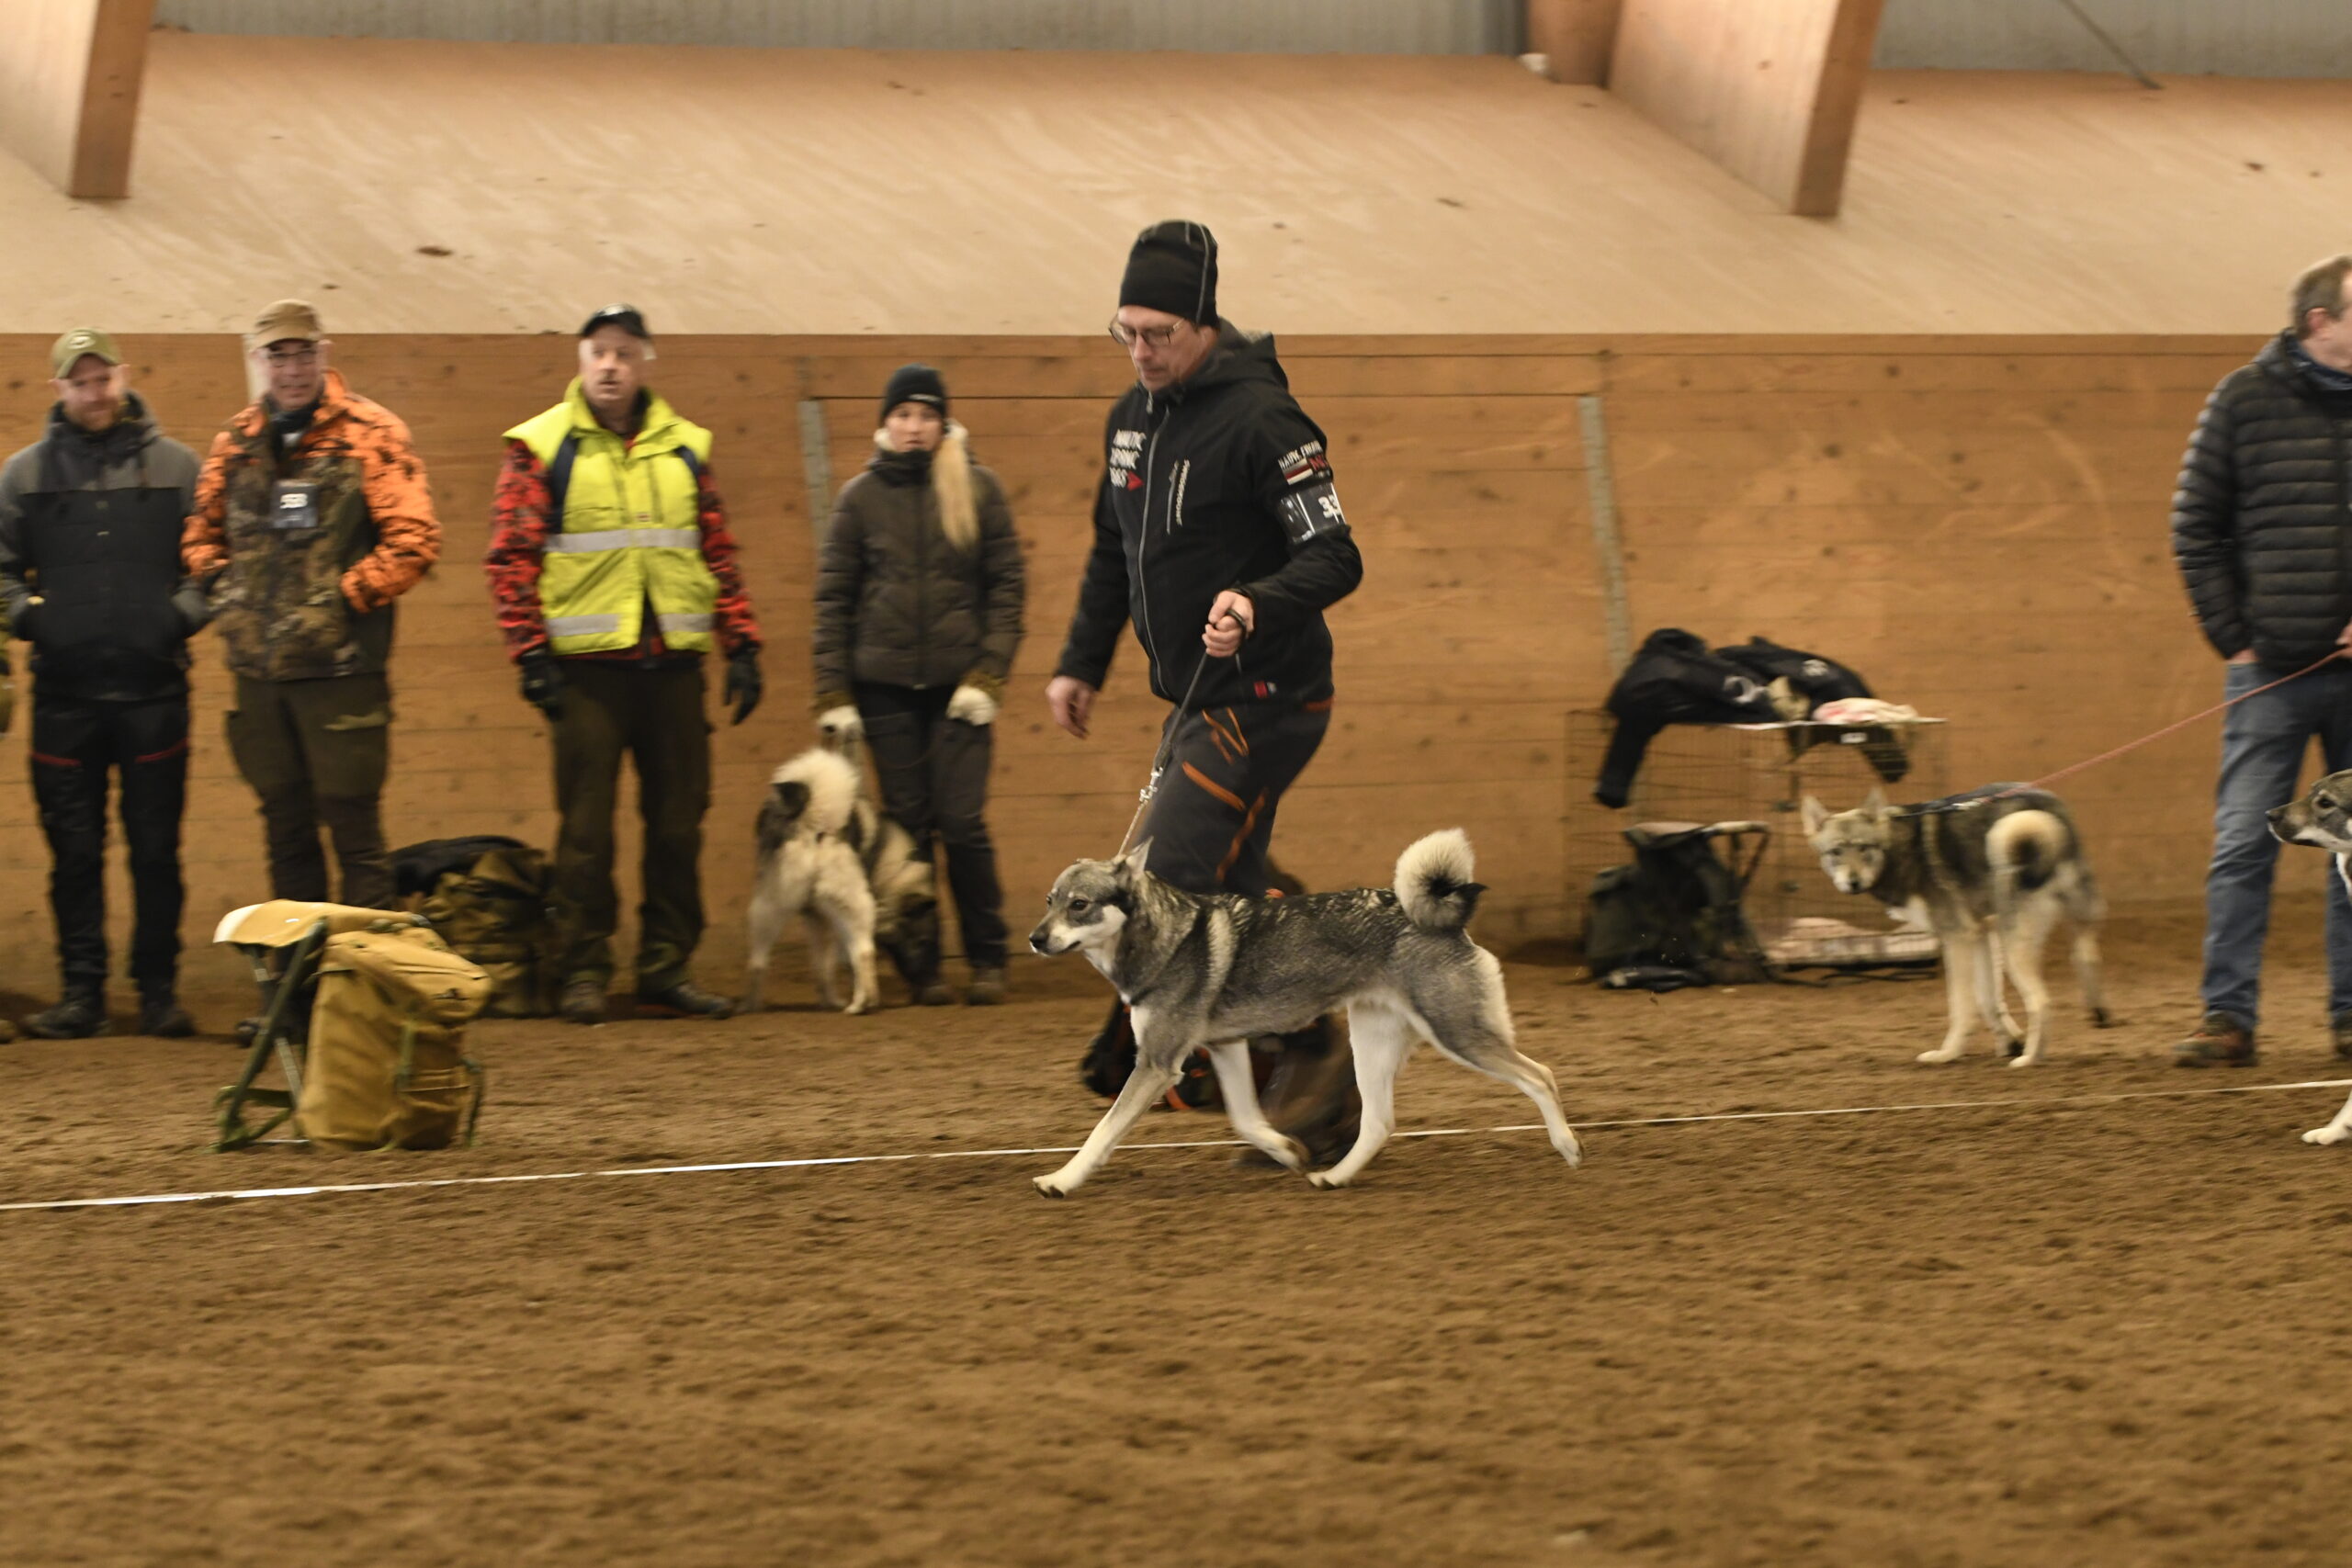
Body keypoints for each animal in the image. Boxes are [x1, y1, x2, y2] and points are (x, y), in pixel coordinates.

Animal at [741, 748, 939, 1014]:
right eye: (923, 941)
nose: (922, 978)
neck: (893, 870)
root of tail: (813, 824)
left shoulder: (818, 919)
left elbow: (822, 965)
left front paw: (828, 1000)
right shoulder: (838, 921)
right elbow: (848, 960)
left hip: (770, 905)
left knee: (758, 960)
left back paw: (750, 1005)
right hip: (853, 909)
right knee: (864, 953)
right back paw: (863, 1004)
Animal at [1025, 829, 1581, 1196]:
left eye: (1079, 904)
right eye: (1050, 900)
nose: (1035, 938)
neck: (1163, 937)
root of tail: (1440, 919)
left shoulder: (1158, 1064)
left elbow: (1102, 1132)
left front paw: (1061, 1179)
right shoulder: (1225, 1049)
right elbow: (1247, 1120)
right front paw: (1288, 1150)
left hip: (1458, 1034)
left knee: (1543, 1075)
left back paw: (1568, 1146)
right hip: (1372, 1045)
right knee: (1379, 1122)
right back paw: (1335, 1176)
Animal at [1801, 785, 2110, 1066]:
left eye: (1864, 848)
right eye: (1835, 852)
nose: (1853, 882)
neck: (1900, 850)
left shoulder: (1957, 938)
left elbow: (1962, 1007)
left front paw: (1948, 1053)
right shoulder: (1981, 934)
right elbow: (1988, 1000)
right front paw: (2009, 1042)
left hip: (2014, 947)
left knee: (2041, 1001)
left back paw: (2031, 1059)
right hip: (2068, 925)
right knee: (2085, 958)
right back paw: (2099, 1013)